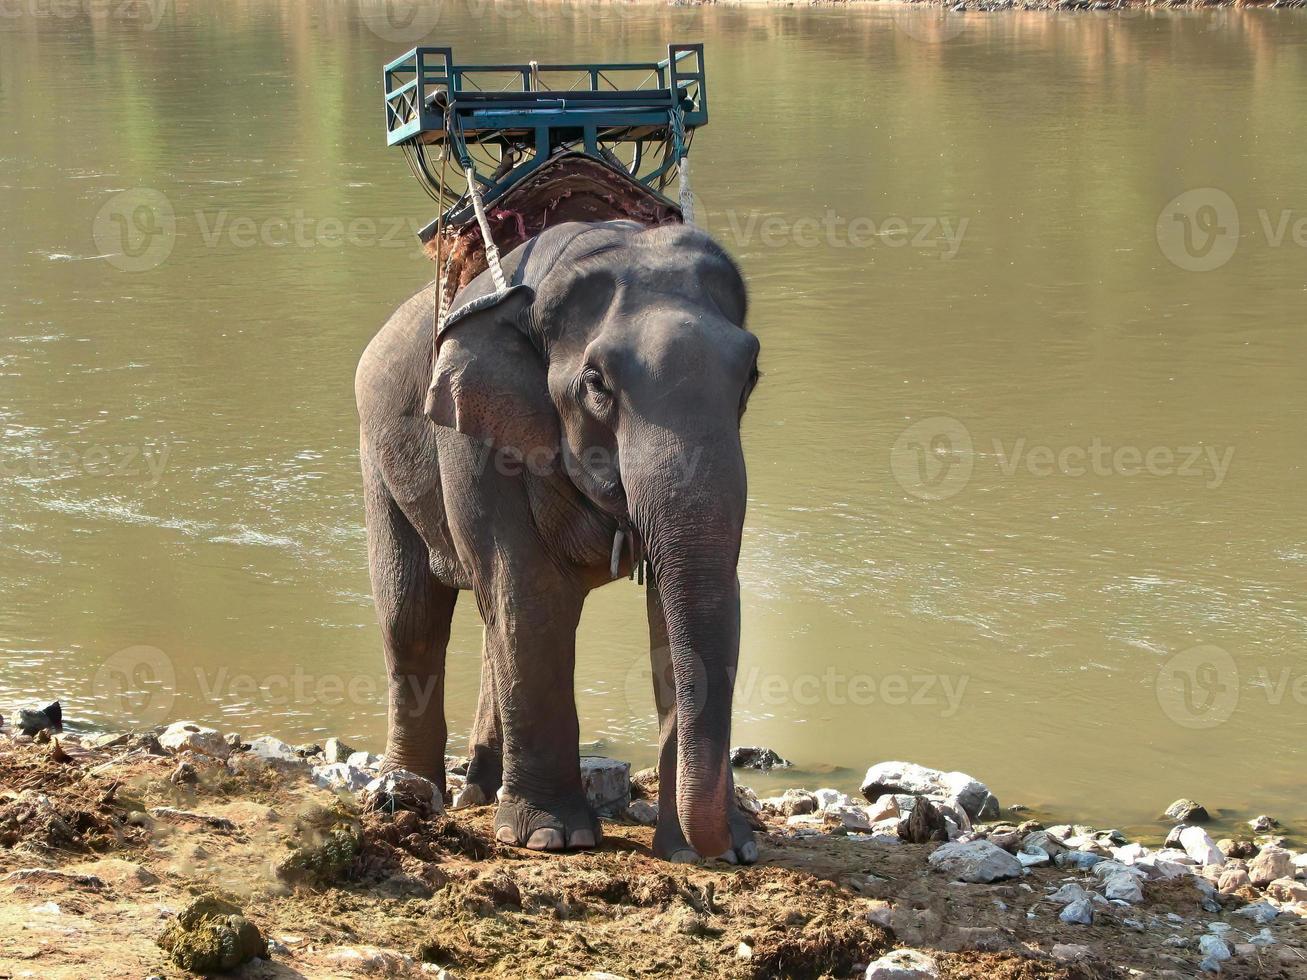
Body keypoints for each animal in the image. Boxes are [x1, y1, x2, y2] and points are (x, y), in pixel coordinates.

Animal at [358, 218, 763, 862]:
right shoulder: (475, 438)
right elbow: (530, 596)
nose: (723, 845)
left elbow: (678, 608)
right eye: (596, 383)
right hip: (378, 458)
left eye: (751, 374)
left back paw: (480, 789)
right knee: (412, 616)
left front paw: (712, 852)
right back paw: (408, 795)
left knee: (484, 623)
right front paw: (552, 838)